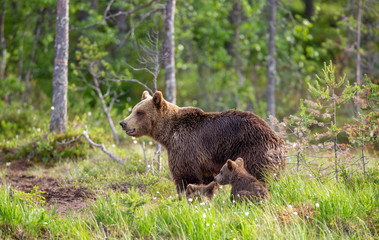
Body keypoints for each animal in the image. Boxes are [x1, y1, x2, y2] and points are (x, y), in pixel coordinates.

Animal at [120, 91, 286, 199]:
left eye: (139, 112)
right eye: (133, 109)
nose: (123, 123)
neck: (168, 135)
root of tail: (276, 139)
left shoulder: (186, 147)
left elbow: (185, 177)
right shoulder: (204, 162)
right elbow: (206, 180)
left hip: (254, 151)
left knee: (261, 175)